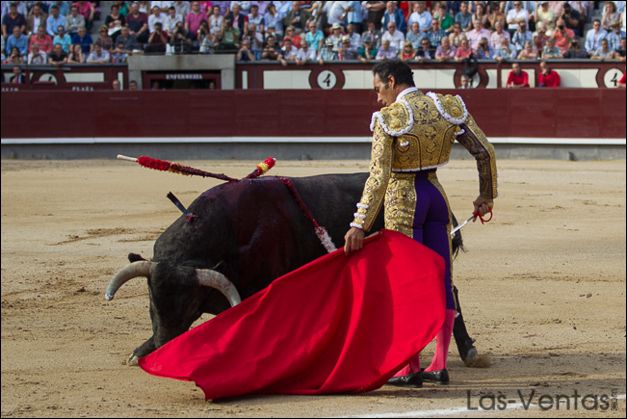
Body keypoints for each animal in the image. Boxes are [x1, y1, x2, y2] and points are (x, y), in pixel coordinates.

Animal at [105, 172, 478, 366]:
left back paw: (468, 349)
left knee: (449, 291)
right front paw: (140, 352)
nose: (163, 350)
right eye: (150, 303)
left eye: (188, 304)